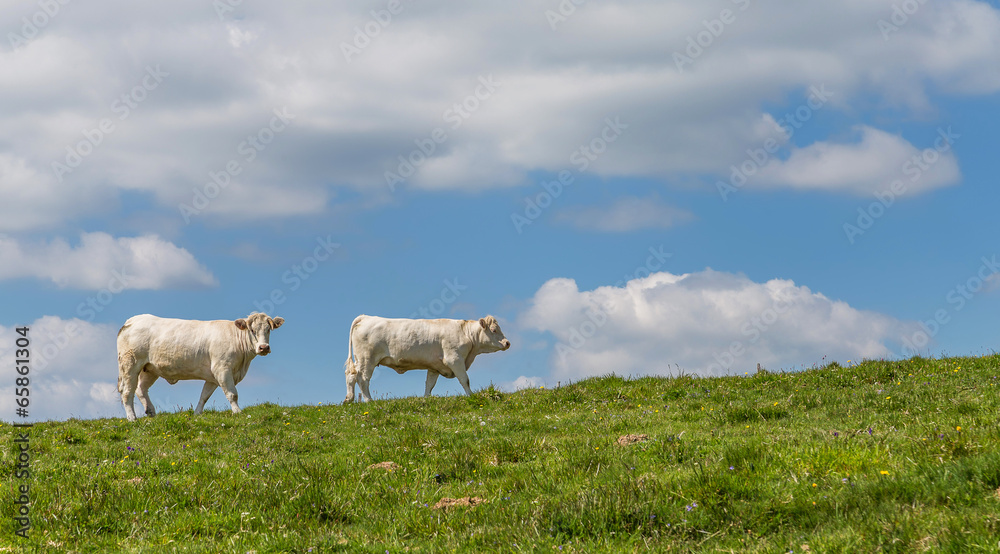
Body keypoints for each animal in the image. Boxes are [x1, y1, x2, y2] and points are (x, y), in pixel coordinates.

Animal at [116, 310, 286, 418]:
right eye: (252, 330)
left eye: (269, 329)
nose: (264, 347)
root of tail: (132, 320)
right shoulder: (222, 369)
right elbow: (232, 394)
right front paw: (238, 412)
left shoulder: (213, 376)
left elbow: (204, 396)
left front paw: (197, 414)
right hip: (130, 364)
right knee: (127, 391)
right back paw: (132, 418)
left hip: (150, 368)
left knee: (141, 388)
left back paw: (151, 411)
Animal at [346, 314, 516, 402]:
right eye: (493, 330)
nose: (507, 343)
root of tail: (366, 317)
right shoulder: (454, 359)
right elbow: (465, 380)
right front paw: (471, 396)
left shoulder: (435, 366)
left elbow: (429, 384)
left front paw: (426, 399)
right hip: (367, 360)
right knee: (362, 379)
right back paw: (369, 400)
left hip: (360, 360)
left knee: (351, 376)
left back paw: (349, 399)